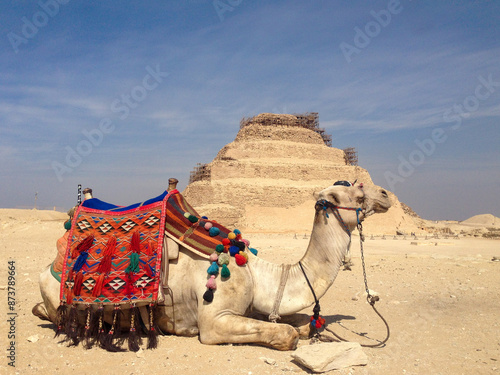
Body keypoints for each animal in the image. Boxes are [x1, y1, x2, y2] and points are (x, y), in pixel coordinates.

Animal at [32, 184, 390, 352]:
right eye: (357, 194)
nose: (386, 194)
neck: (257, 273)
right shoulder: (215, 320)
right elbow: (288, 334)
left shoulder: (253, 306)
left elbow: (300, 325)